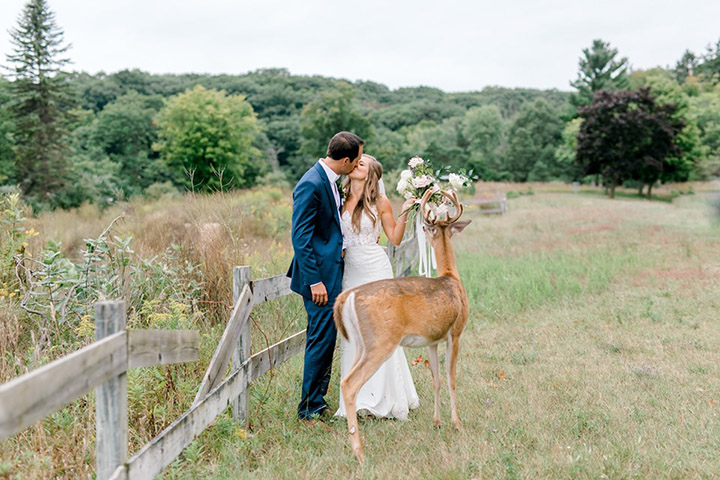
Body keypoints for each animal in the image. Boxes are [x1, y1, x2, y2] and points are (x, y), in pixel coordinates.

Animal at [334, 188, 472, 462]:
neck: (451, 277)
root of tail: (348, 296)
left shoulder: (432, 340)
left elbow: (436, 379)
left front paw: (437, 422)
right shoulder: (455, 332)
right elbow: (452, 378)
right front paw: (457, 423)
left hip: (361, 343)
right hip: (381, 342)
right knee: (349, 384)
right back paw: (359, 452)